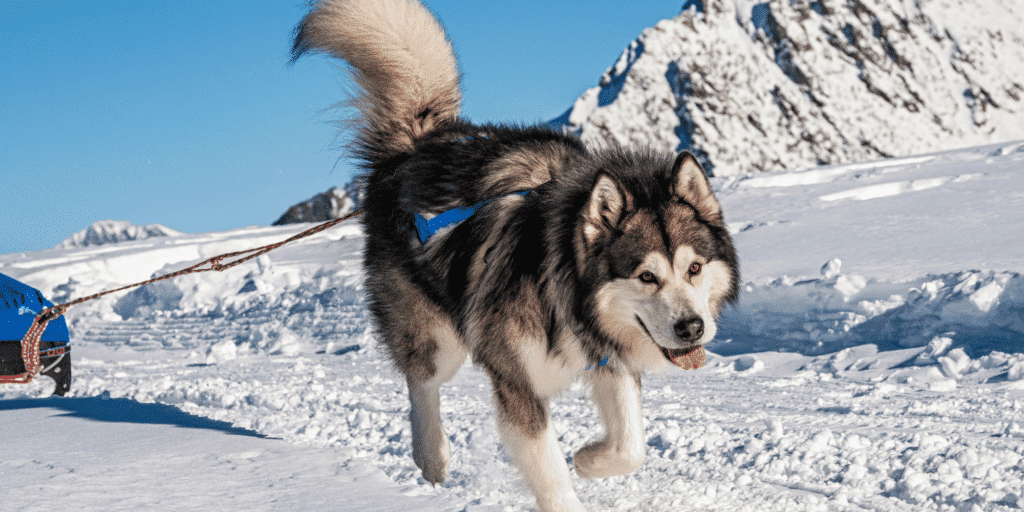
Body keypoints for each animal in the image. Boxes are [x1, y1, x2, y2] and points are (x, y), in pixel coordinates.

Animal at [294, 1, 737, 507]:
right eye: (647, 276)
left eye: (695, 268)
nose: (692, 328)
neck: (564, 289)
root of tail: (416, 146)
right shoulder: (517, 383)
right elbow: (552, 475)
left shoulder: (607, 354)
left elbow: (630, 446)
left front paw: (588, 459)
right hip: (437, 337)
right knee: (422, 383)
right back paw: (432, 458)